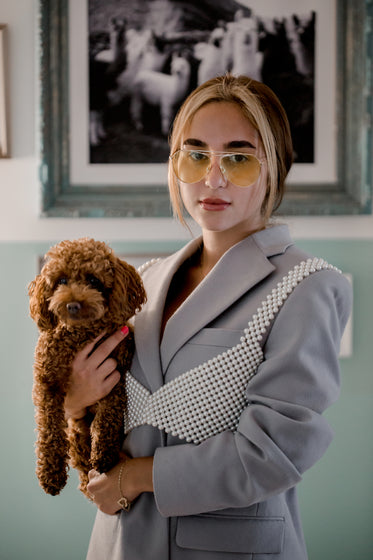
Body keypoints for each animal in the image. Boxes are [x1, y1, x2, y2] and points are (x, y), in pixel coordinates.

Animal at [27, 238, 146, 496]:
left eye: (93, 280)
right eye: (61, 280)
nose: (73, 305)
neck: (79, 336)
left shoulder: (114, 379)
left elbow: (107, 419)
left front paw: (104, 456)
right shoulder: (47, 382)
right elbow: (49, 428)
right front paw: (50, 474)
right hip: (76, 432)